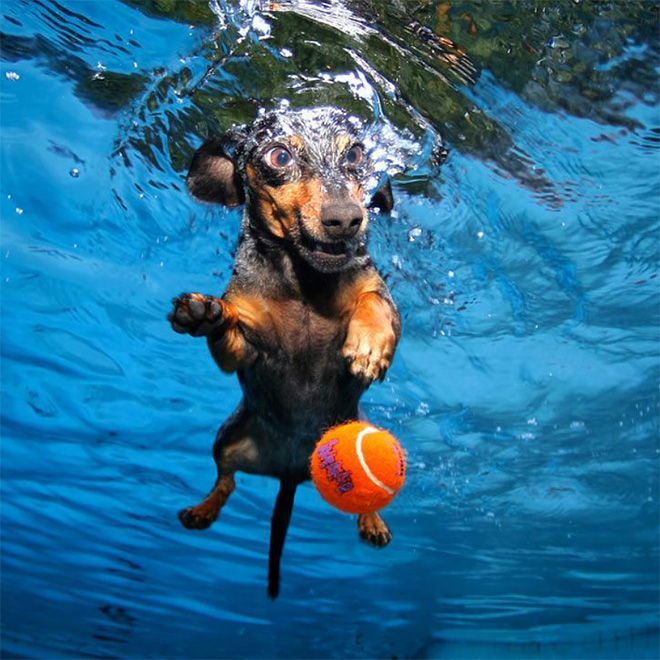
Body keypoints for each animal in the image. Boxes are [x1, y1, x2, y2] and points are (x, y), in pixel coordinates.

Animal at [168, 107, 400, 600]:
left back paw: (372, 521)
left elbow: (374, 300)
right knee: (225, 481)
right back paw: (203, 511)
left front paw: (369, 345)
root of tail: (293, 471)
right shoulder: (247, 349)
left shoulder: (376, 288)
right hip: (226, 438)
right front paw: (207, 316)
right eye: (279, 156)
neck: (304, 282)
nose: (346, 219)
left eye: (356, 153)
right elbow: (231, 333)